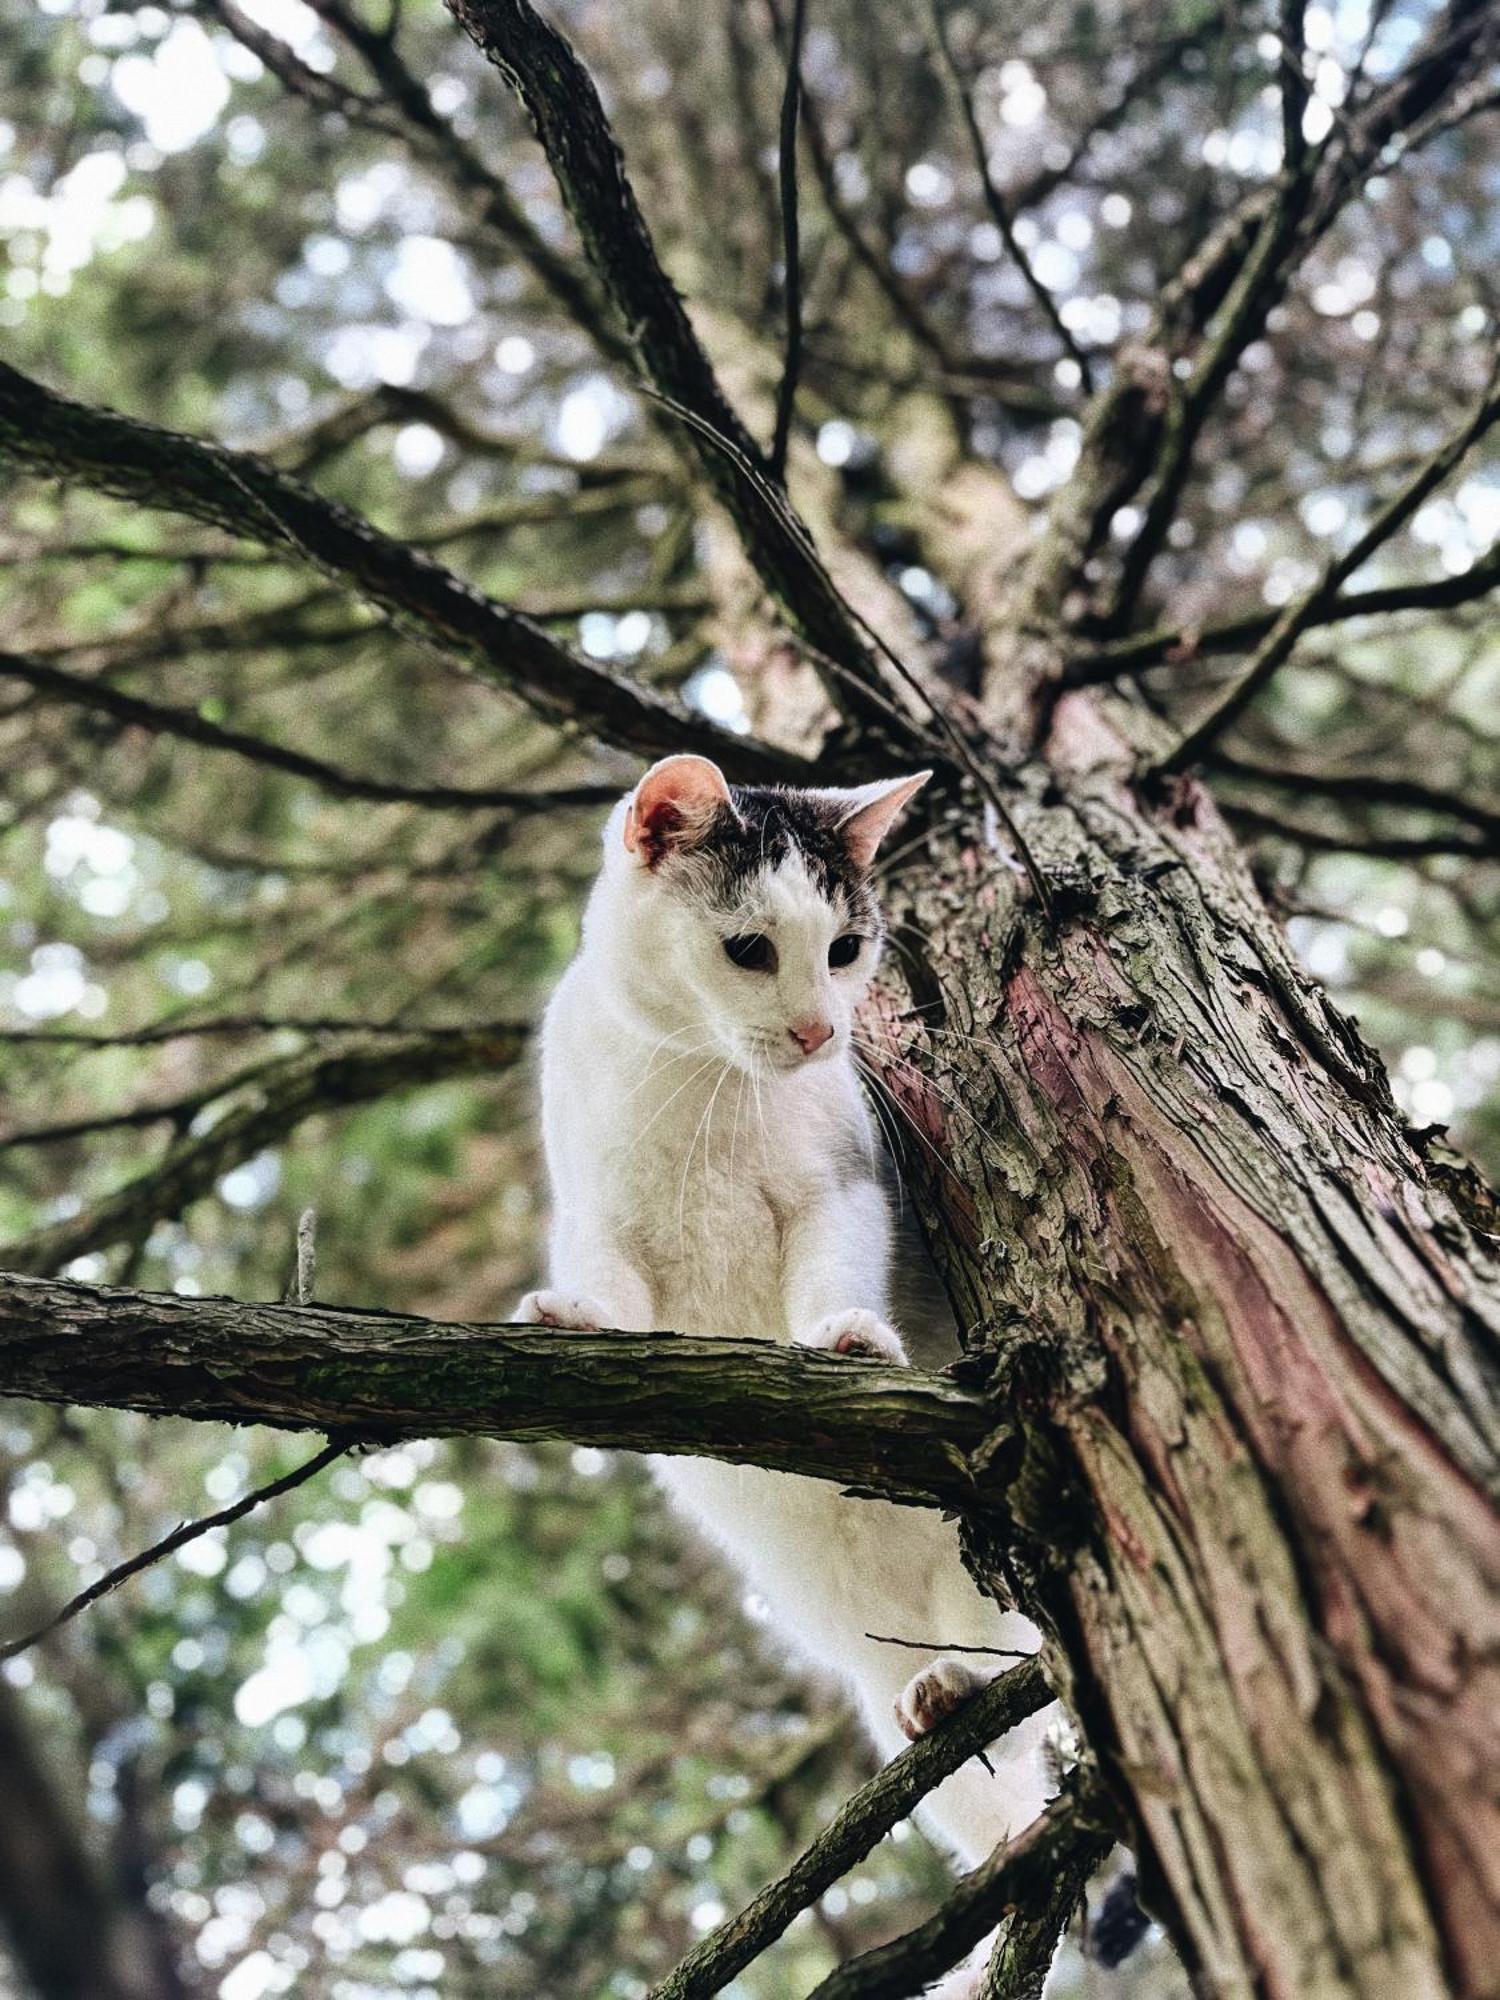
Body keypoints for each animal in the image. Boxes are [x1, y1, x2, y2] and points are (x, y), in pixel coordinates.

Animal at [524, 756, 1064, 1992]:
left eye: (847, 948)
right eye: (750, 949)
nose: (822, 1030)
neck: (699, 1083)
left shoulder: (847, 1191)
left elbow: (833, 1271)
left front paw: (846, 1340)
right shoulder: (600, 1218)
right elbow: (609, 1285)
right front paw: (581, 1317)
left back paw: (957, 1684)